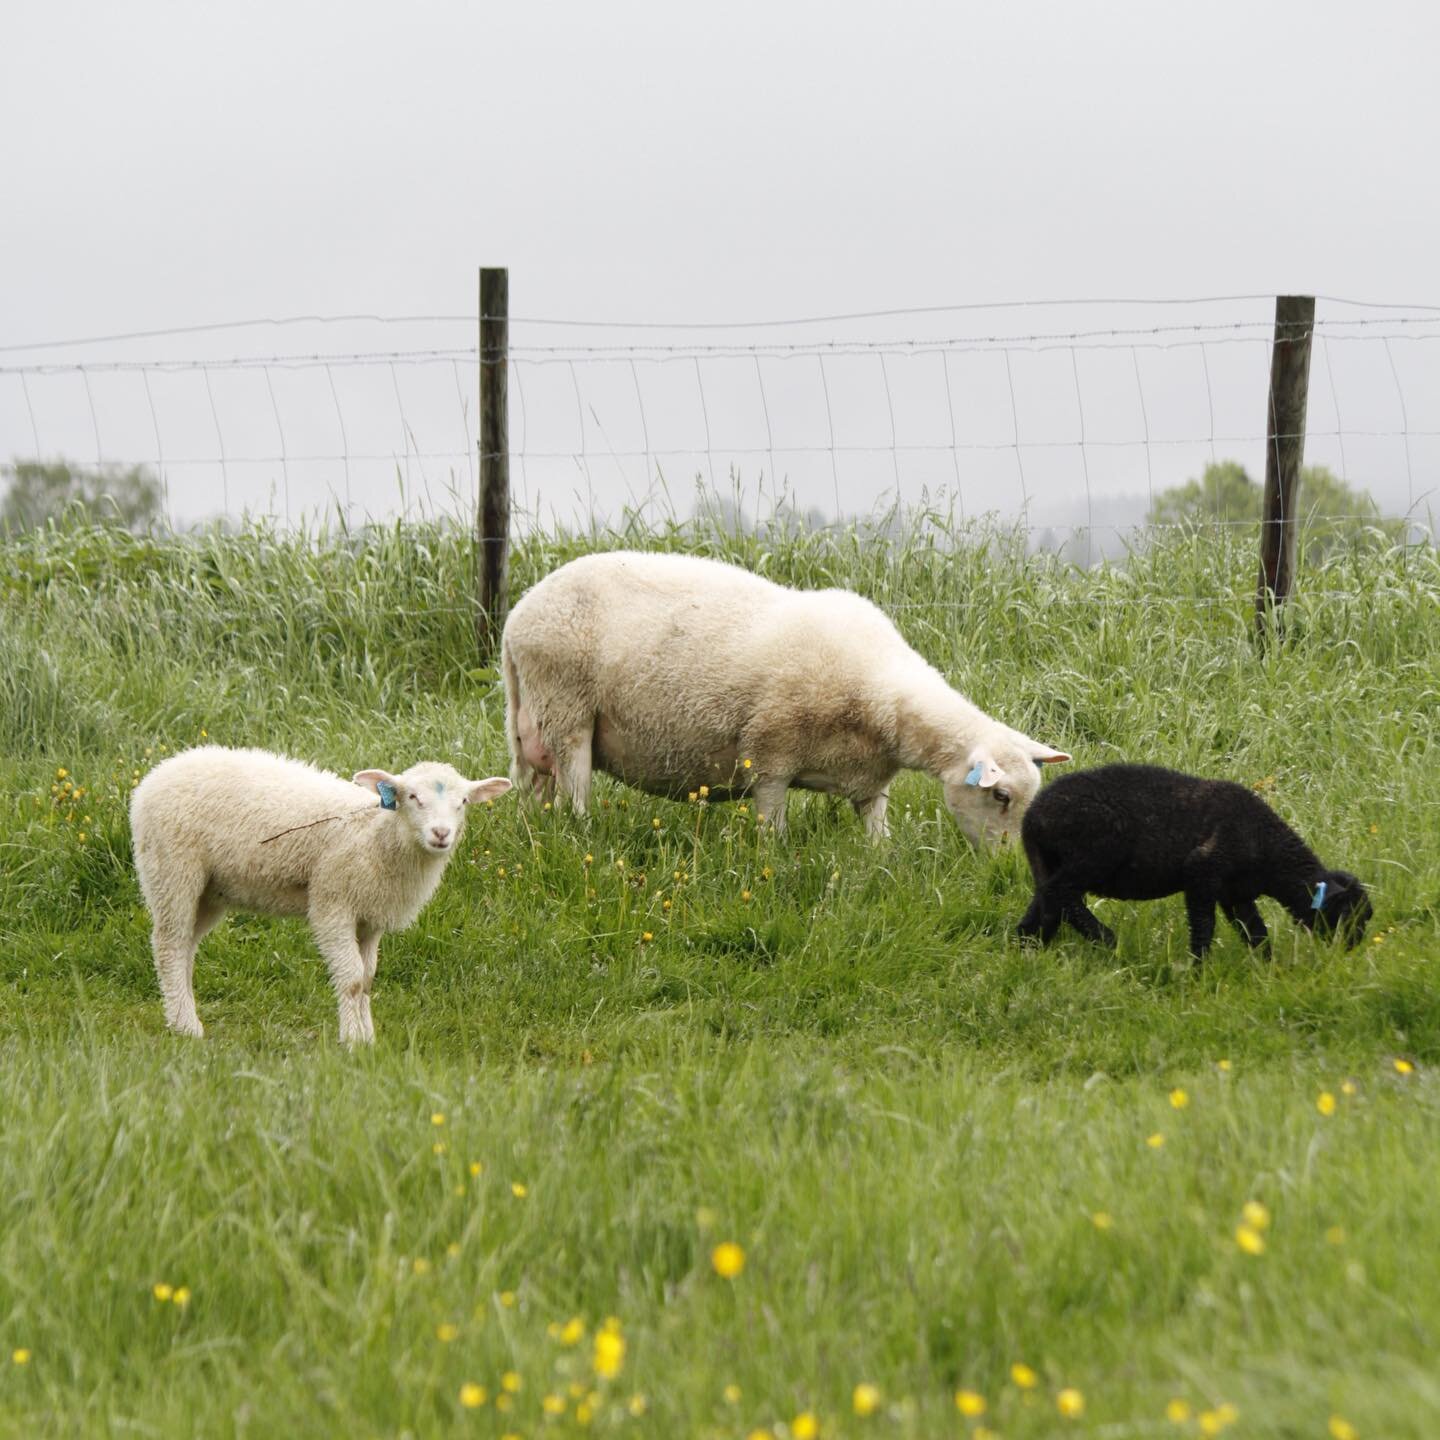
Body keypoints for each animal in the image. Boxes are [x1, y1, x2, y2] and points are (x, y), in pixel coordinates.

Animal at [129, 748, 512, 1042]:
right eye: (413, 797)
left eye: (463, 802)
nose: (441, 833)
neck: (376, 836)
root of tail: (159, 772)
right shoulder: (333, 903)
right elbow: (353, 979)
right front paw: (352, 1040)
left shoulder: (371, 916)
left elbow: (367, 979)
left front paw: (368, 1038)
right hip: (171, 868)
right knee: (169, 944)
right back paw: (186, 1027)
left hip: (210, 890)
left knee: (186, 948)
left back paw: (181, 1014)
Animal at [501, 547, 1065, 840]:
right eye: (1000, 795)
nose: (1009, 870)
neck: (883, 702)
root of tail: (517, 615)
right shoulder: (768, 754)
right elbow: (773, 830)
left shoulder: (870, 782)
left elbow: (877, 838)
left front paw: (880, 867)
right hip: (566, 710)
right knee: (575, 794)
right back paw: (583, 835)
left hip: (530, 725)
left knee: (535, 792)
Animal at [1013, 766, 1370, 956]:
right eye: (1348, 915)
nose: (1353, 947)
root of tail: (1032, 816)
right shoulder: (1202, 873)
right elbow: (1204, 925)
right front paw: (1199, 969)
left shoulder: (1236, 894)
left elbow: (1255, 932)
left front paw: (1267, 969)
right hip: (1096, 850)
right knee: (1062, 893)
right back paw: (1106, 939)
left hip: (1050, 860)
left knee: (1047, 901)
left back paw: (1029, 946)